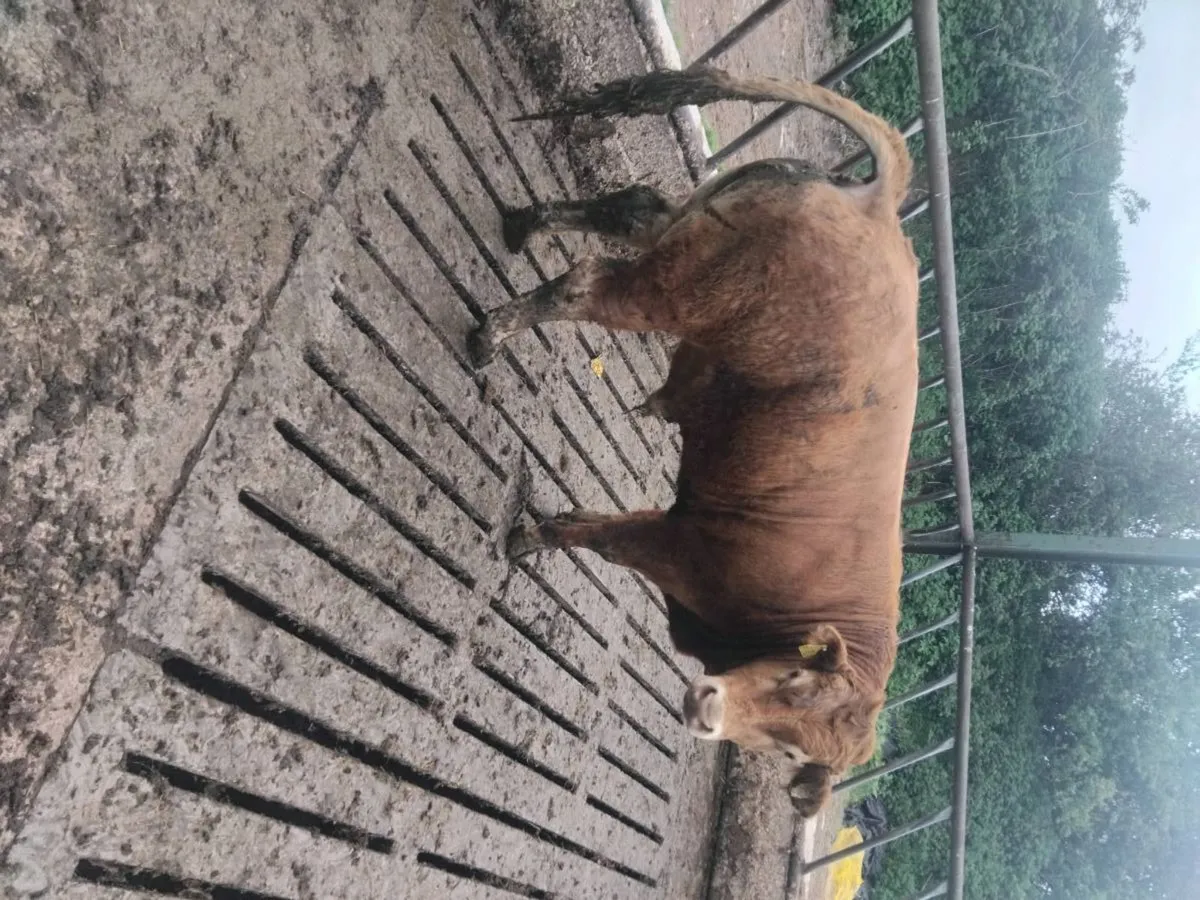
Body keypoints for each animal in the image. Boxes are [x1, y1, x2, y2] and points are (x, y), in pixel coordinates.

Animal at [468, 68, 918, 818]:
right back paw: (491, 333)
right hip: (670, 292)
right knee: (586, 282)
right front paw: (527, 538)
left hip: (687, 238)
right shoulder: (673, 542)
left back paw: (524, 222)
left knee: (633, 208)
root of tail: (878, 207)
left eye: (791, 752)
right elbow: (592, 536)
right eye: (794, 680)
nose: (707, 708)